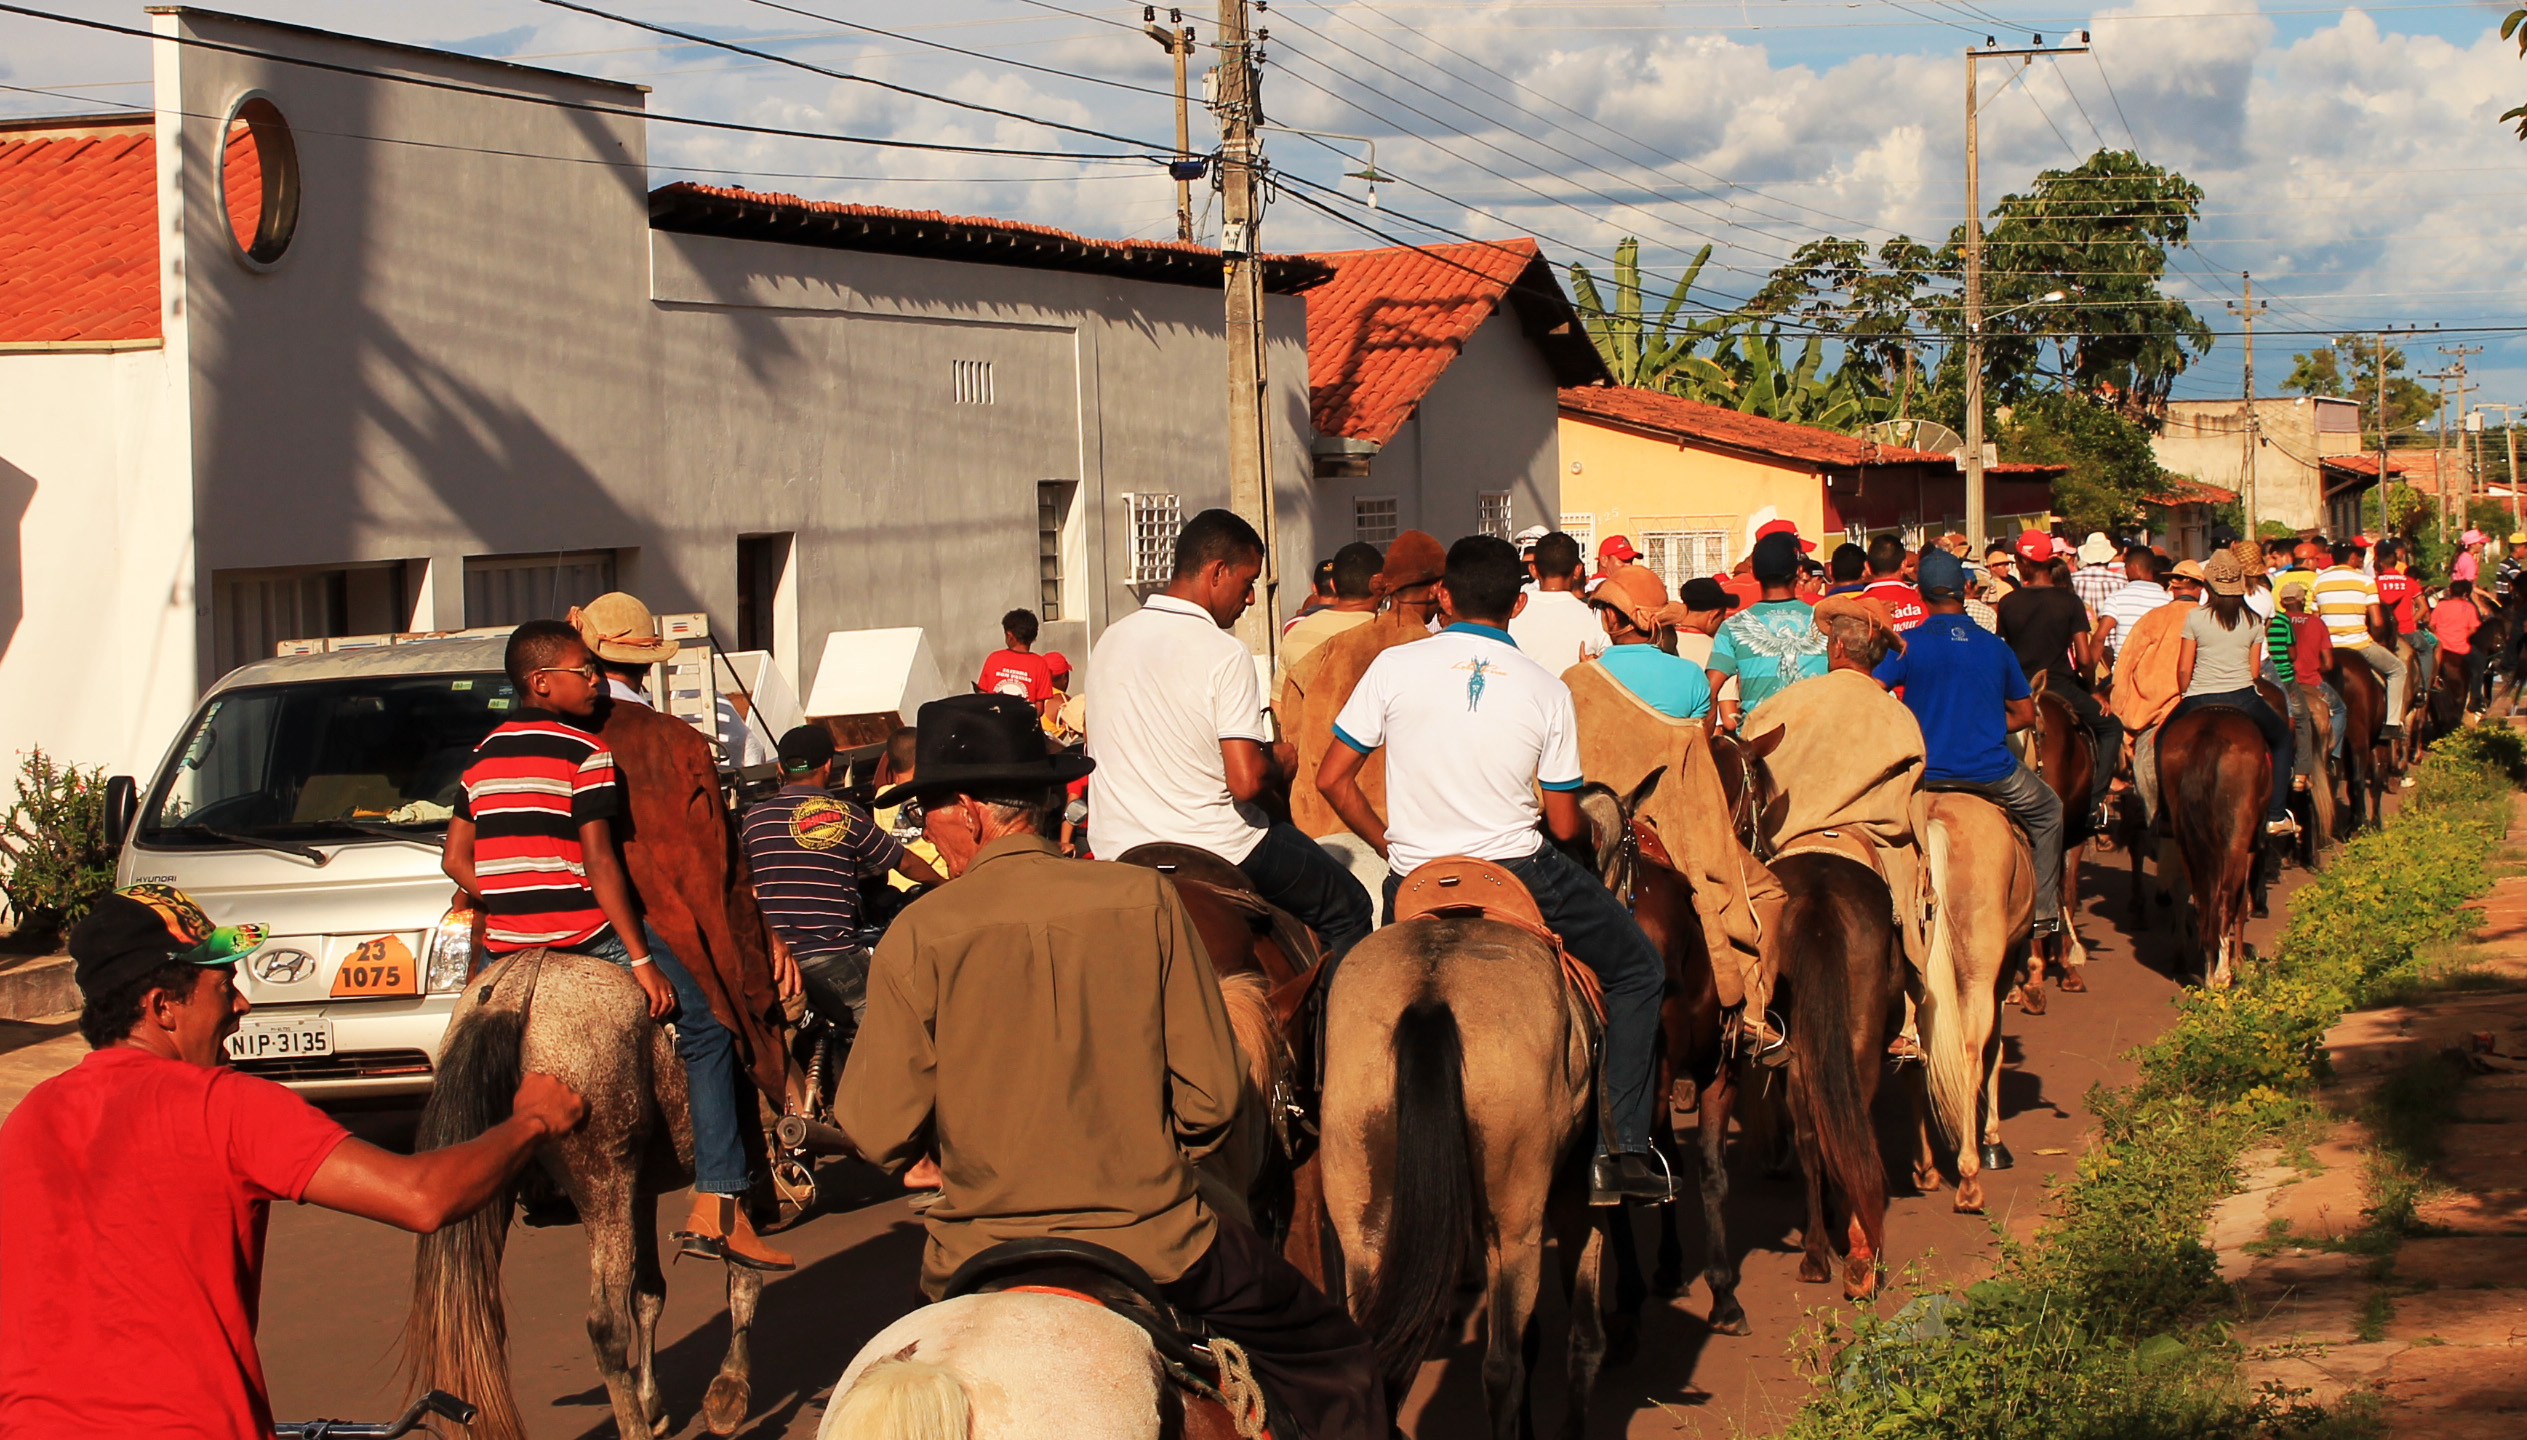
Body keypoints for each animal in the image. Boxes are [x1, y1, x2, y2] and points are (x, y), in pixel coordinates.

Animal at [404, 954, 753, 1434]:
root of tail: (511, 993)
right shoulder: (748, 1148)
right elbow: (743, 1269)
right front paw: (730, 1384)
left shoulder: (642, 1190)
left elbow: (648, 1294)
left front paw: (653, 1401)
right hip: (602, 1176)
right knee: (605, 1326)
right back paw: (634, 1429)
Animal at [1314, 909, 1607, 1424]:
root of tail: (1431, 998)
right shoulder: (1576, 1191)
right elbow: (1584, 1336)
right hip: (1514, 1229)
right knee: (1503, 1368)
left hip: (1362, 1227)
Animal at [1910, 783, 2031, 1212]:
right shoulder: (2006, 966)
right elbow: (1995, 1051)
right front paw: (1994, 1141)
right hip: (1979, 975)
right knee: (1968, 1055)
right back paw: (1969, 1177)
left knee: (1918, 1057)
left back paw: (1926, 1168)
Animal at [2153, 707, 2274, 985]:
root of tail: (2209, 733)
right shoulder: (2250, 845)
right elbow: (2241, 904)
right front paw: (2239, 961)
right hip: (2237, 833)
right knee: (2227, 895)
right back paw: (2222, 973)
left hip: (2183, 832)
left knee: (2200, 896)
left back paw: (2207, 971)